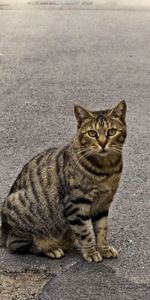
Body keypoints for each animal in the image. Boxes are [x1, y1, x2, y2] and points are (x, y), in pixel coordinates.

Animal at [0, 100, 126, 262]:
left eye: (111, 132)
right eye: (92, 133)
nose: (103, 143)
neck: (106, 169)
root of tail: (3, 231)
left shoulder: (103, 204)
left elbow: (102, 230)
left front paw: (104, 249)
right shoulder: (76, 204)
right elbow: (85, 232)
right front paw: (91, 252)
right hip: (18, 208)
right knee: (17, 245)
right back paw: (50, 248)